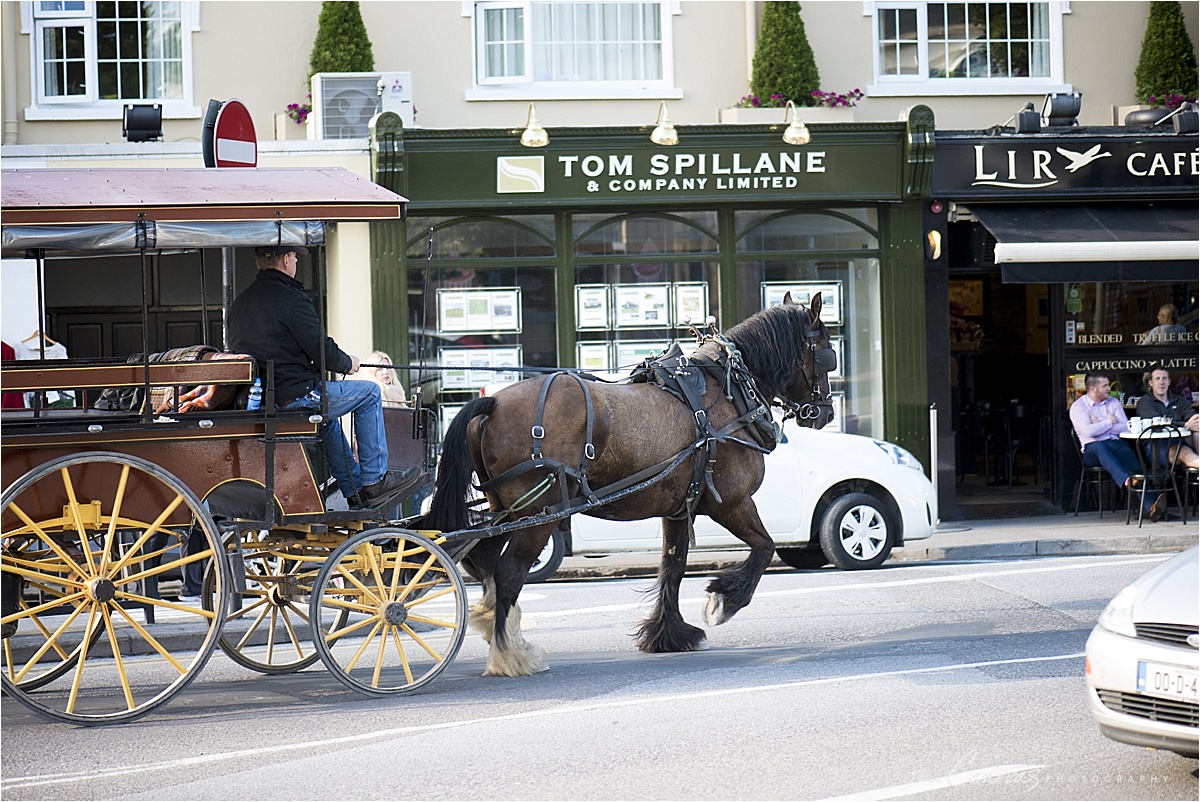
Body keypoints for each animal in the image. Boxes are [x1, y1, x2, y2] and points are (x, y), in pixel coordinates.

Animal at [429, 294, 835, 677]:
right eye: (826, 351)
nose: (826, 412)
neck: (728, 392)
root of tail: (493, 402)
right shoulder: (732, 502)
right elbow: (764, 548)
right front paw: (723, 600)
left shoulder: (679, 509)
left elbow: (673, 566)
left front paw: (669, 634)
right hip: (540, 515)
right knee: (508, 573)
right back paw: (510, 654)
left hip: (506, 511)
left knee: (483, 562)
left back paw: (496, 629)